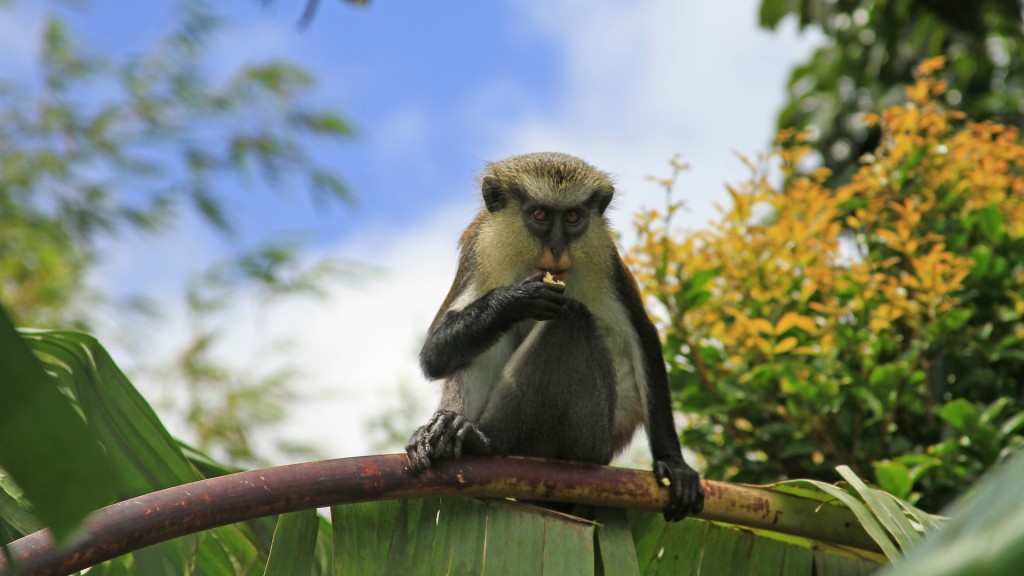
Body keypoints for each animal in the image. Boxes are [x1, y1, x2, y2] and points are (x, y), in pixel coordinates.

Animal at [405, 152, 704, 521]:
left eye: (573, 217)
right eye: (540, 215)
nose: (558, 249)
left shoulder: (608, 263)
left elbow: (643, 337)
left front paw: (674, 464)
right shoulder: (476, 253)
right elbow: (434, 354)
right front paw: (514, 301)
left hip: (591, 435)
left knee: (569, 320)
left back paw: (483, 442)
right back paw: (449, 433)